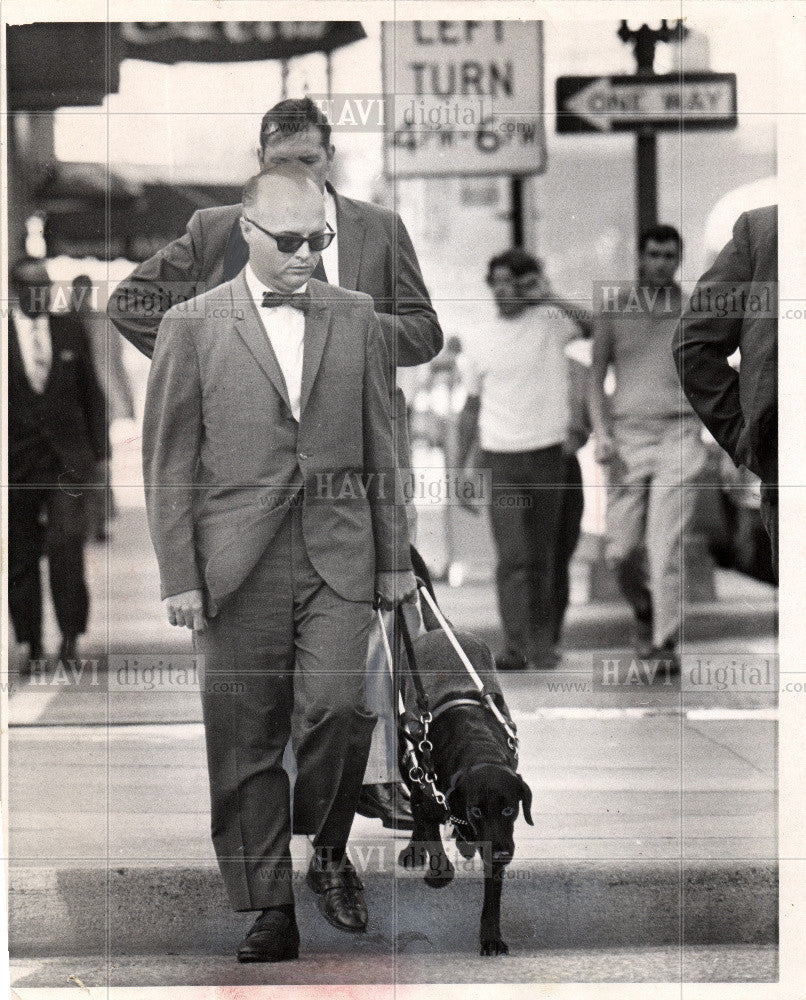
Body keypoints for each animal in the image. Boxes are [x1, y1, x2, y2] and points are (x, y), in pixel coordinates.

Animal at [398, 584, 536, 956]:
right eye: (476, 809)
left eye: (510, 809)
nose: (501, 853)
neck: (478, 748)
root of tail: (442, 629)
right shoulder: (427, 791)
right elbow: (429, 829)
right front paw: (435, 869)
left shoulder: (499, 837)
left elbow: (492, 896)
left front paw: (491, 937)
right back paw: (419, 849)